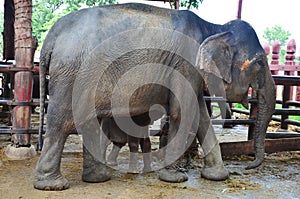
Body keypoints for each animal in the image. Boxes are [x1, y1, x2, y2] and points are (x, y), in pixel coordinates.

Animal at [34, 2, 276, 190]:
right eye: (260, 63)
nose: (249, 165)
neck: (213, 27)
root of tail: (51, 36)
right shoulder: (184, 64)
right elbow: (182, 113)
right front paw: (175, 178)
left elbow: (200, 115)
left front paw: (217, 176)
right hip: (71, 75)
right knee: (61, 124)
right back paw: (53, 185)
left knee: (88, 122)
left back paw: (98, 178)